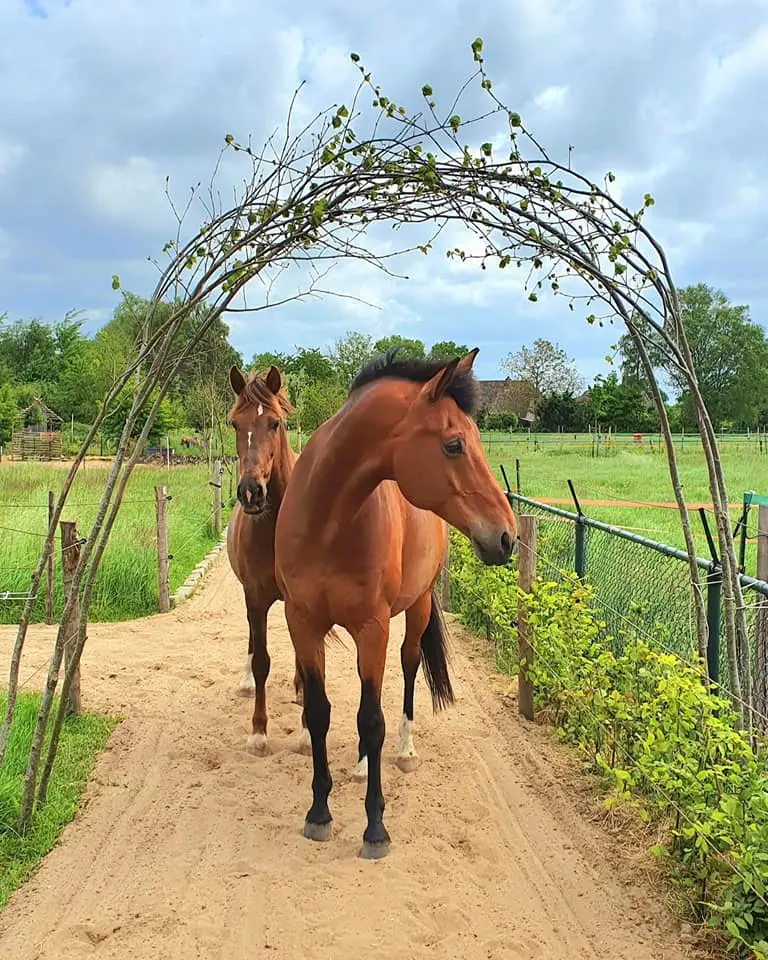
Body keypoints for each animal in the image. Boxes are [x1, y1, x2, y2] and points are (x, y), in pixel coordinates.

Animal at [274, 347, 517, 859]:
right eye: (454, 445)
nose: (506, 536)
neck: (327, 522)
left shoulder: (374, 626)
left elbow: (372, 719)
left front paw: (374, 827)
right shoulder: (302, 623)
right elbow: (320, 713)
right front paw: (319, 813)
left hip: (415, 610)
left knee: (405, 672)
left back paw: (402, 752)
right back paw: (363, 764)